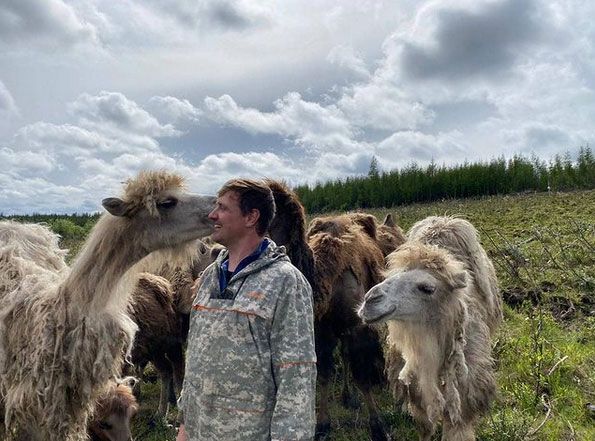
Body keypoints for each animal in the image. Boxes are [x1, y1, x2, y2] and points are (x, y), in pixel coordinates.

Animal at [266, 180, 400, 440]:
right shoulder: (320, 327)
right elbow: (325, 372)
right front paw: (322, 424)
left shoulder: (357, 324)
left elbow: (362, 375)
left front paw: (379, 427)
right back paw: (349, 396)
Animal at [358, 215, 502, 438]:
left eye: (427, 288)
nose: (370, 300)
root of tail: (444, 220)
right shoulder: (415, 388)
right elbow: (424, 426)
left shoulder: (464, 391)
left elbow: (457, 430)